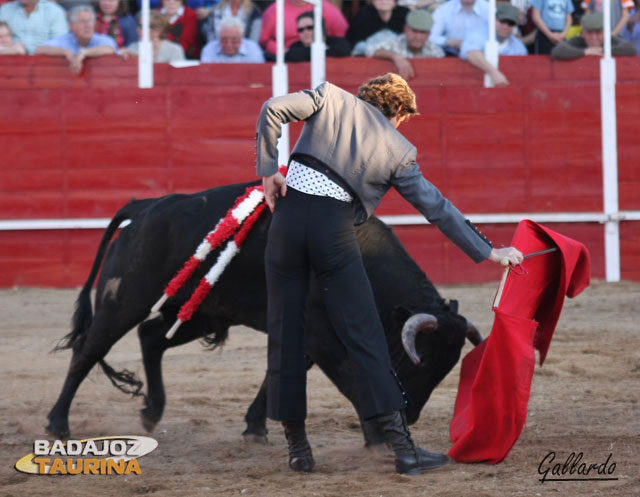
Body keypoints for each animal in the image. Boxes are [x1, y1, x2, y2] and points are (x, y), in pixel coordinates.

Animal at [48, 180, 480, 444]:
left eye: (446, 368)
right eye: (420, 362)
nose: (412, 415)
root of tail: (145, 207)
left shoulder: (309, 335)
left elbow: (283, 373)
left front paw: (255, 426)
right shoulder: (322, 336)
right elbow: (349, 375)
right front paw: (378, 436)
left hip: (202, 311)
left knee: (151, 338)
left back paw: (152, 411)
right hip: (124, 299)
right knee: (88, 350)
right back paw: (58, 424)